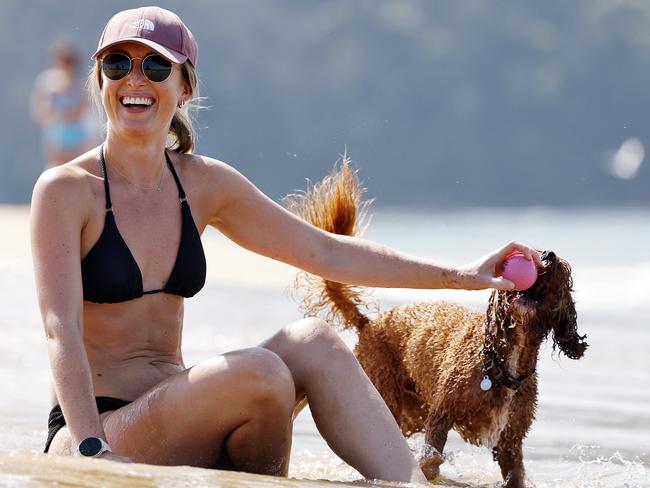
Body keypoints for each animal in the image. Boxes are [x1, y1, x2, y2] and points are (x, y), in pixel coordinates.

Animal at [284, 158, 588, 486]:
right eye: (536, 252)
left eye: (563, 270)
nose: (548, 254)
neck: (500, 361)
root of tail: (370, 324)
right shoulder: (442, 414)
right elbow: (431, 460)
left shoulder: (510, 440)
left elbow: (513, 473)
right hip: (387, 395)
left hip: (411, 411)